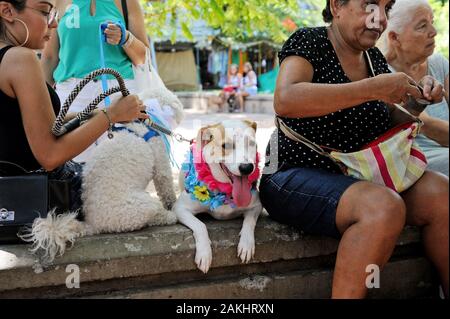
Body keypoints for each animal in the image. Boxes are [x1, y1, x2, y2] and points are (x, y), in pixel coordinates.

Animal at [173, 119, 264, 274]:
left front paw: (246, 244)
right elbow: (200, 225)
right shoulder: (179, 208)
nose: (247, 168)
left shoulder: (256, 205)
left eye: (251, 143)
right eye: (226, 146)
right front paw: (204, 253)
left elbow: (250, 221)